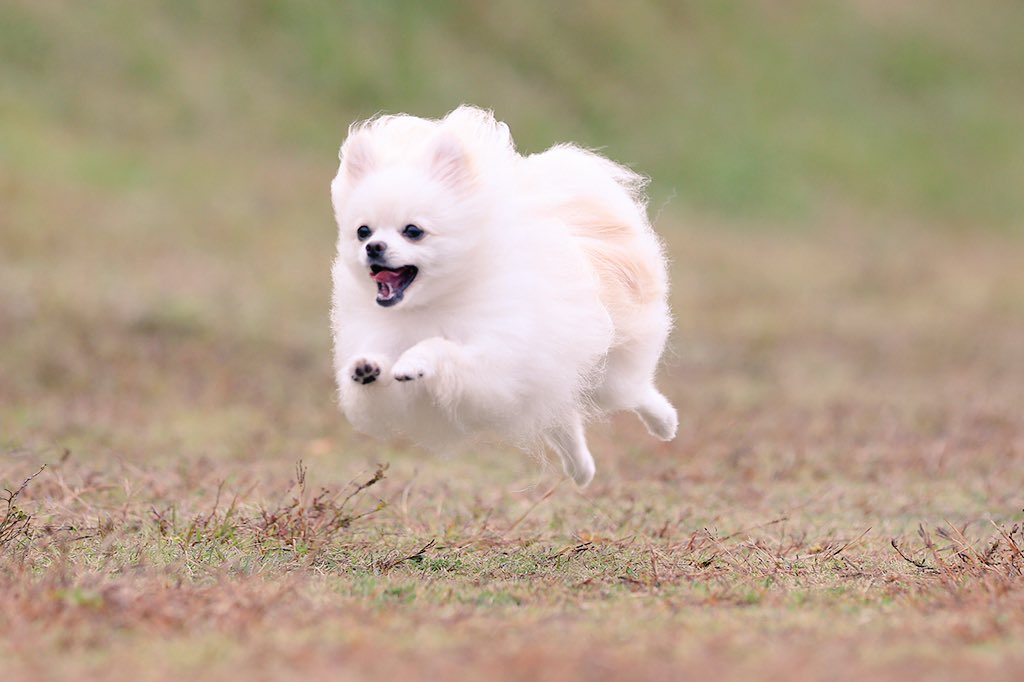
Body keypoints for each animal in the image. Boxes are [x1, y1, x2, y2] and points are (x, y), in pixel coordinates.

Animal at [331, 104, 675, 483]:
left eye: (413, 231)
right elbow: (374, 381)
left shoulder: (495, 364)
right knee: (564, 419)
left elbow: (440, 347)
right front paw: (367, 366)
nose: (374, 247)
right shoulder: (399, 386)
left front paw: (414, 360)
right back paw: (581, 469)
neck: (432, 302)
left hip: (604, 375)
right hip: (551, 380)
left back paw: (665, 424)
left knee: (635, 392)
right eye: (363, 231)